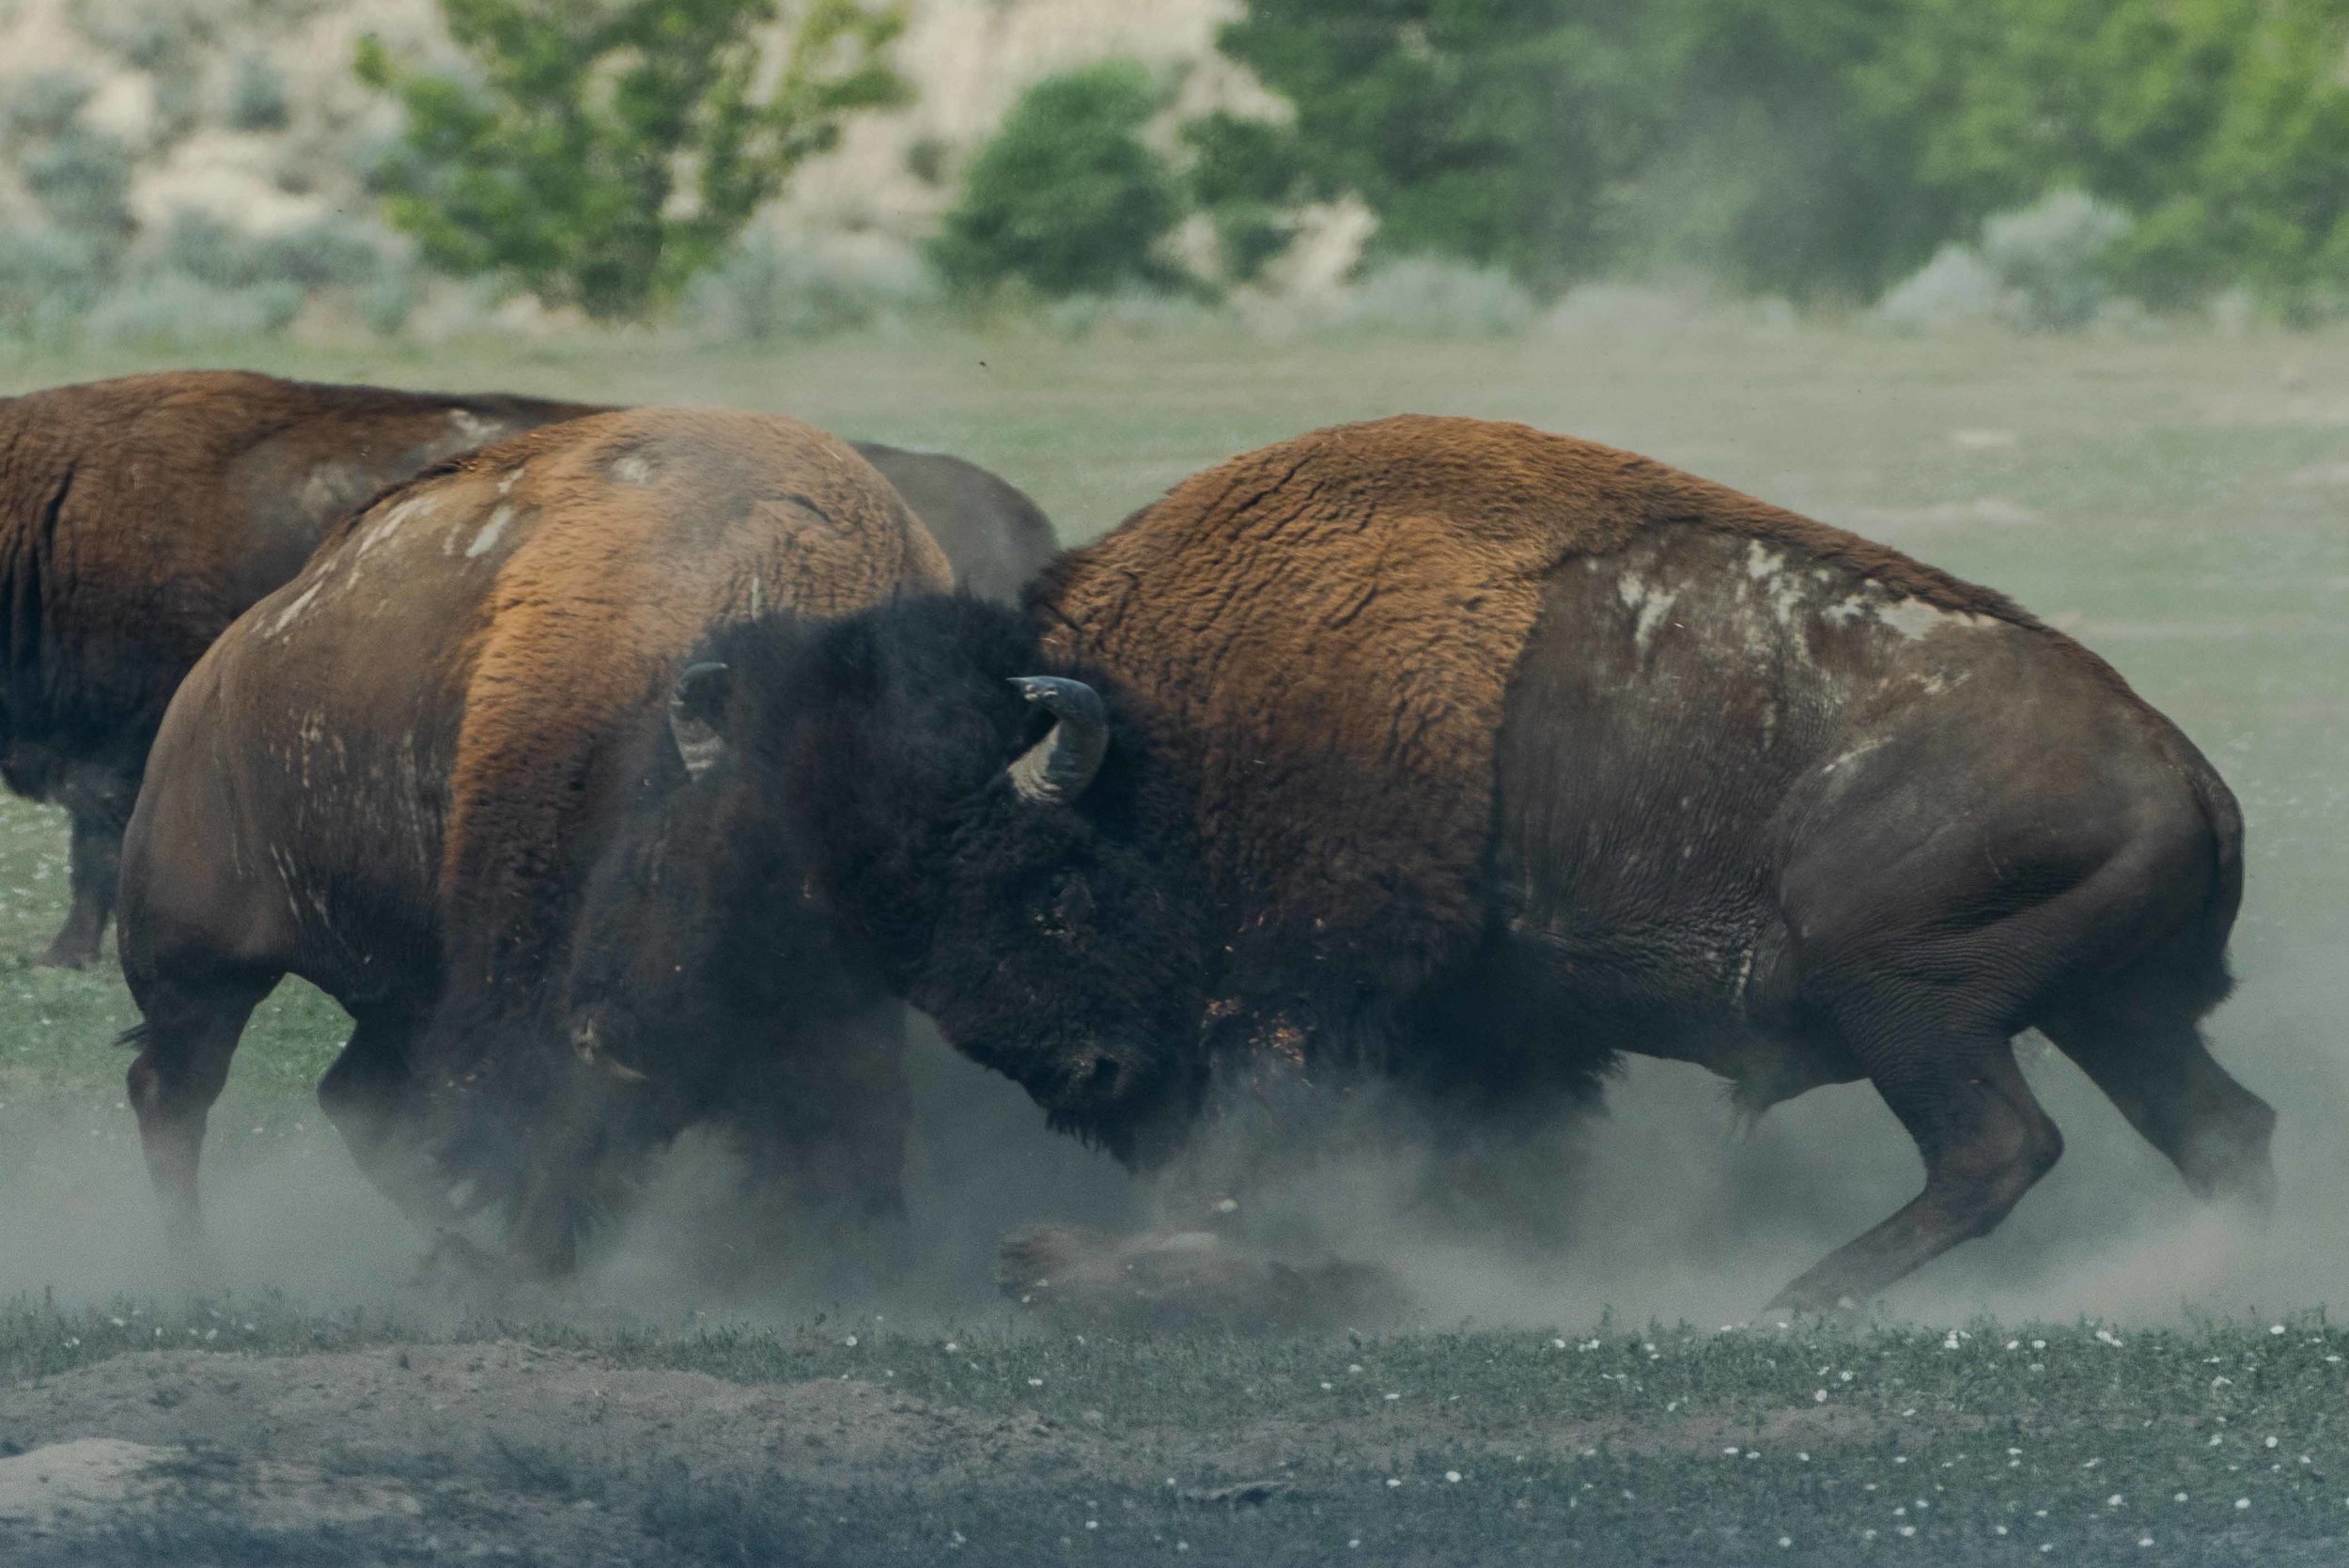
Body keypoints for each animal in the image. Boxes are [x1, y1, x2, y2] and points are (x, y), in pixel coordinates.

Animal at [117, 403, 944, 1277]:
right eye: (658, 858)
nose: (619, 1040)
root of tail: (213, 674)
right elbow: (548, 1123)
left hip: (397, 990)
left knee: (354, 1100)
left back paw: (454, 1249)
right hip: (199, 969)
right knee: (172, 1092)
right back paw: (200, 1266)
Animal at [597, 411, 2264, 1305]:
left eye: (1041, 884)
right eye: (889, 936)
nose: (1081, 1074)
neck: (1164, 729)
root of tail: (2181, 765)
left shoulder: (1311, 998)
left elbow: (1281, 1125)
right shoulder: (1495, 1028)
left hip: (1912, 1001)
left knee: (1998, 1146)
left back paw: (1791, 1300)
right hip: (2108, 1011)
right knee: (2215, 1130)